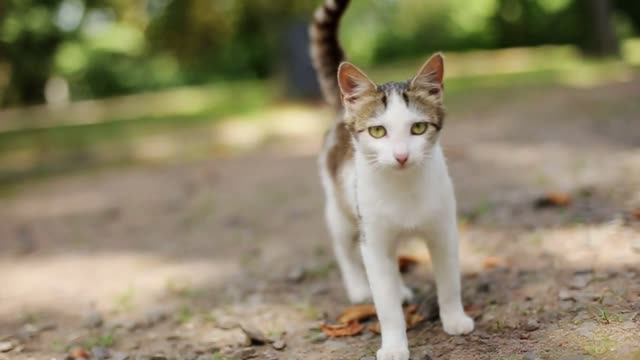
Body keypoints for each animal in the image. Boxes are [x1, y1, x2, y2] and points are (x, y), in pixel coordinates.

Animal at [310, 0, 476, 360]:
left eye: (418, 128)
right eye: (377, 131)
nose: (401, 156)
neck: (404, 190)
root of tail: (341, 113)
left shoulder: (443, 229)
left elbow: (449, 280)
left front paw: (454, 318)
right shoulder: (372, 236)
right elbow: (384, 303)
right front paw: (394, 345)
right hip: (341, 207)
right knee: (345, 248)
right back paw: (359, 287)